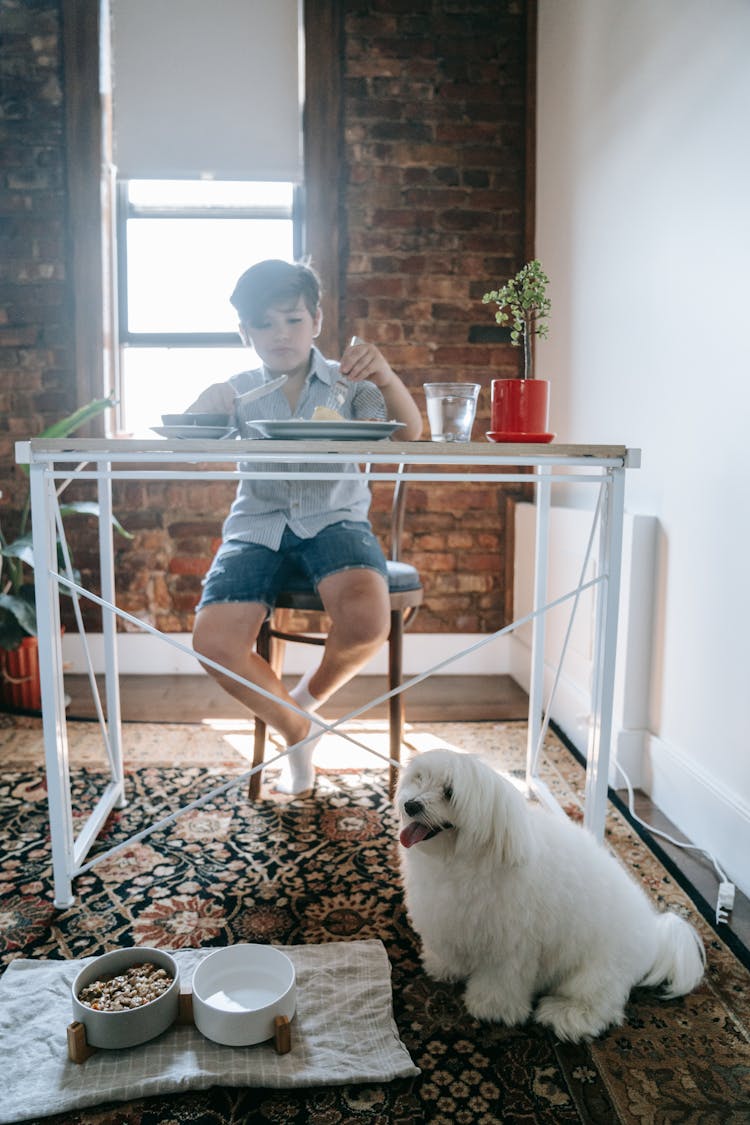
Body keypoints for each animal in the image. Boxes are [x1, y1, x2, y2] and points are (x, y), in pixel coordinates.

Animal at [395, 751, 706, 1039]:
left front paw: (492, 1008)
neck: (461, 860)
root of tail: (654, 934)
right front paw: (443, 966)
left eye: (449, 792)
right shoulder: (451, 920)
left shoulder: (510, 945)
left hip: (596, 972)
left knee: (600, 1004)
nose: (410, 804)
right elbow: (451, 950)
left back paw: (566, 1015)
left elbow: (500, 979)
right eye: (419, 779)